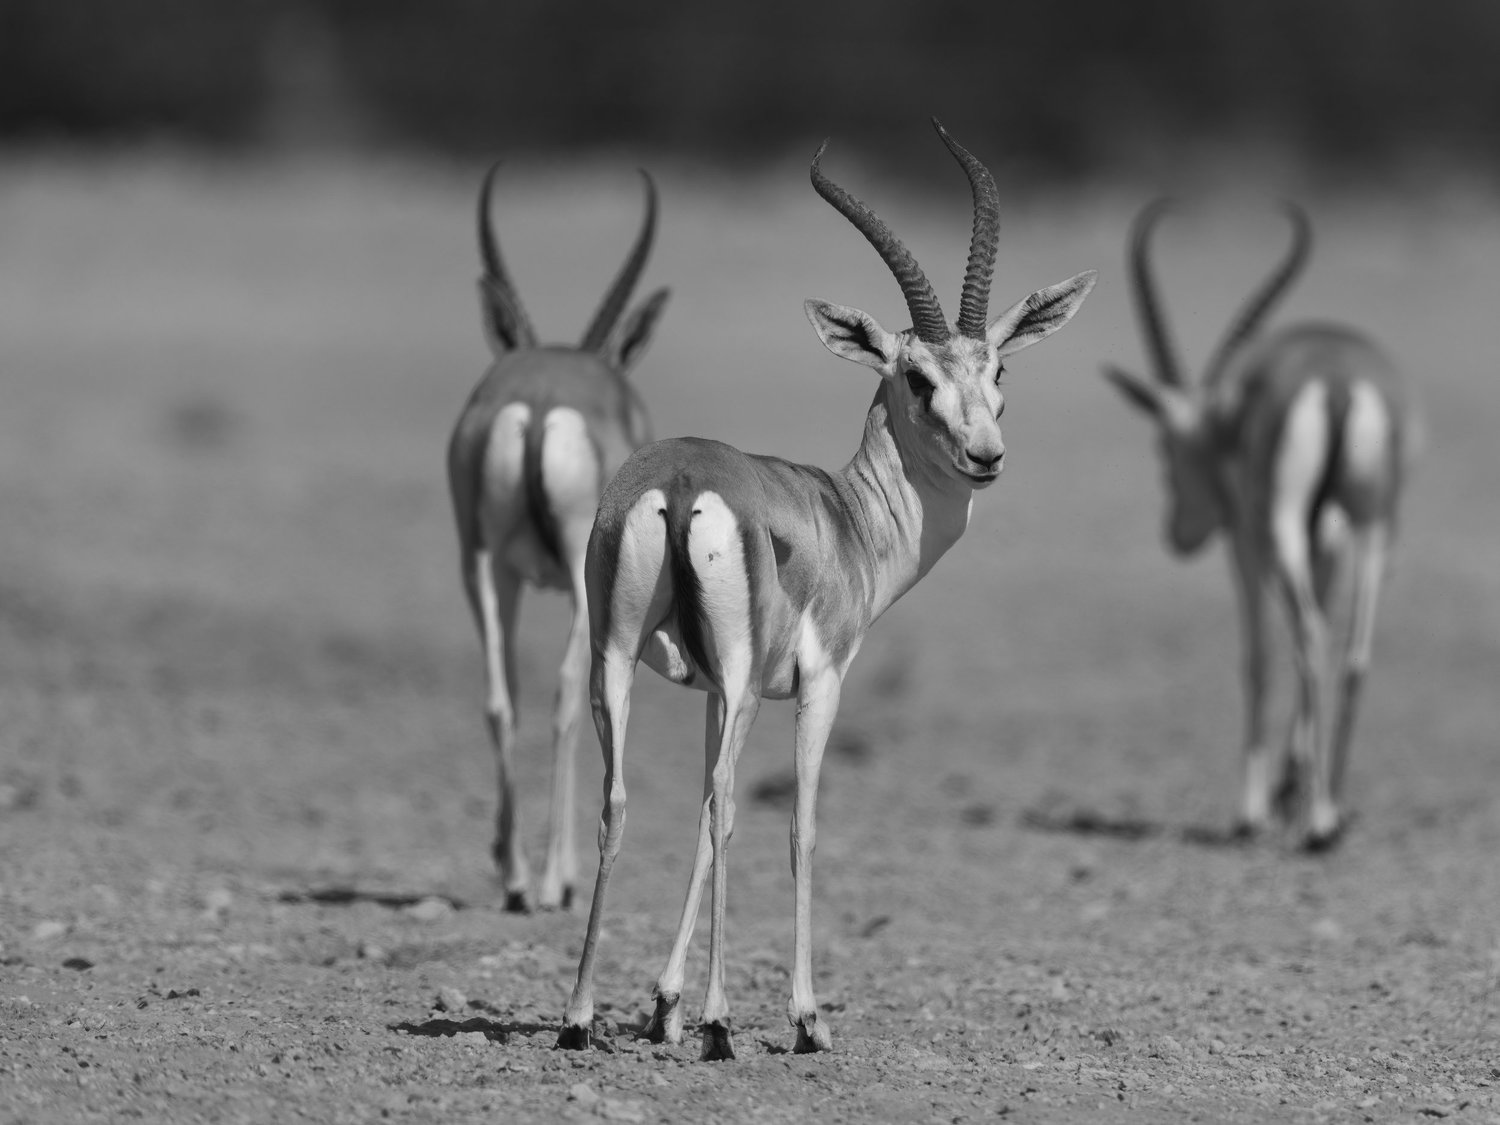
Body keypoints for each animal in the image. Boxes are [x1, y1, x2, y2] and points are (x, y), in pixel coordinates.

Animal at [446, 162, 669, 912]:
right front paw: (561, 874)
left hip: (481, 564)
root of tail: (541, 408)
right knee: (574, 694)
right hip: (584, 575)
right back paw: (549, 881)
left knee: (499, 697)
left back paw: (516, 876)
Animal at [556, 119, 1096, 1059]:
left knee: (623, 800)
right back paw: (724, 1026)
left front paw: (662, 1006)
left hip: (616, 658)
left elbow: (696, 816)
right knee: (733, 805)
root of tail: (682, 481)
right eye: (917, 377)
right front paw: (803, 1018)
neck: (847, 519)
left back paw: (581, 1020)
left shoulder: (709, 692)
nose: (985, 455)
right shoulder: (819, 683)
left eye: (997, 368)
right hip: (736, 678)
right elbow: (798, 825)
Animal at [1102, 200, 1413, 851]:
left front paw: (1254, 812)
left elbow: (1259, 655)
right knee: (1353, 653)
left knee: (1308, 637)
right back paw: (1331, 809)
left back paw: (1317, 824)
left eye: (1164, 449)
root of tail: (1338, 382)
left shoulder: (1246, 542)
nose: (1178, 534)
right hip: (1374, 529)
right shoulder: (1329, 544)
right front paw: (1288, 792)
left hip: (1282, 529)